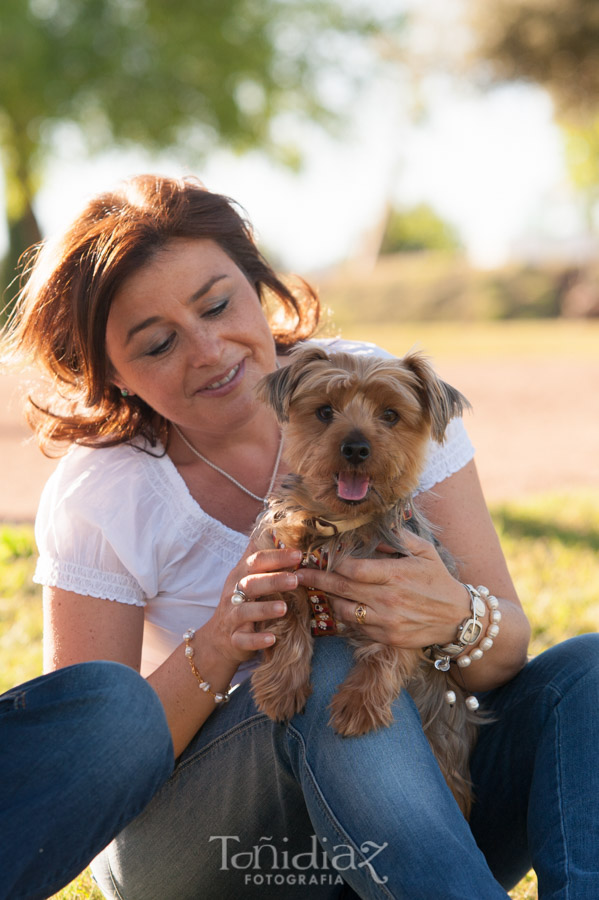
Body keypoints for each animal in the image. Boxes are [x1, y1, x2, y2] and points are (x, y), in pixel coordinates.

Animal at [251, 346, 480, 816]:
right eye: (324, 411)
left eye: (390, 415)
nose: (355, 447)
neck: (340, 527)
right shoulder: (282, 563)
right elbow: (287, 620)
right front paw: (282, 689)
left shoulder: (410, 599)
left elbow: (387, 654)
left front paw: (358, 705)